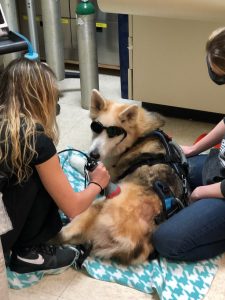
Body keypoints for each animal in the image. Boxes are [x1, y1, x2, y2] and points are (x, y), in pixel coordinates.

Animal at [59, 89, 186, 264]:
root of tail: (128, 243)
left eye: (114, 133)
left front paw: (75, 159)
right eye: (95, 127)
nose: (94, 154)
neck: (137, 136)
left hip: (94, 206)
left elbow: (86, 165)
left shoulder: (107, 174)